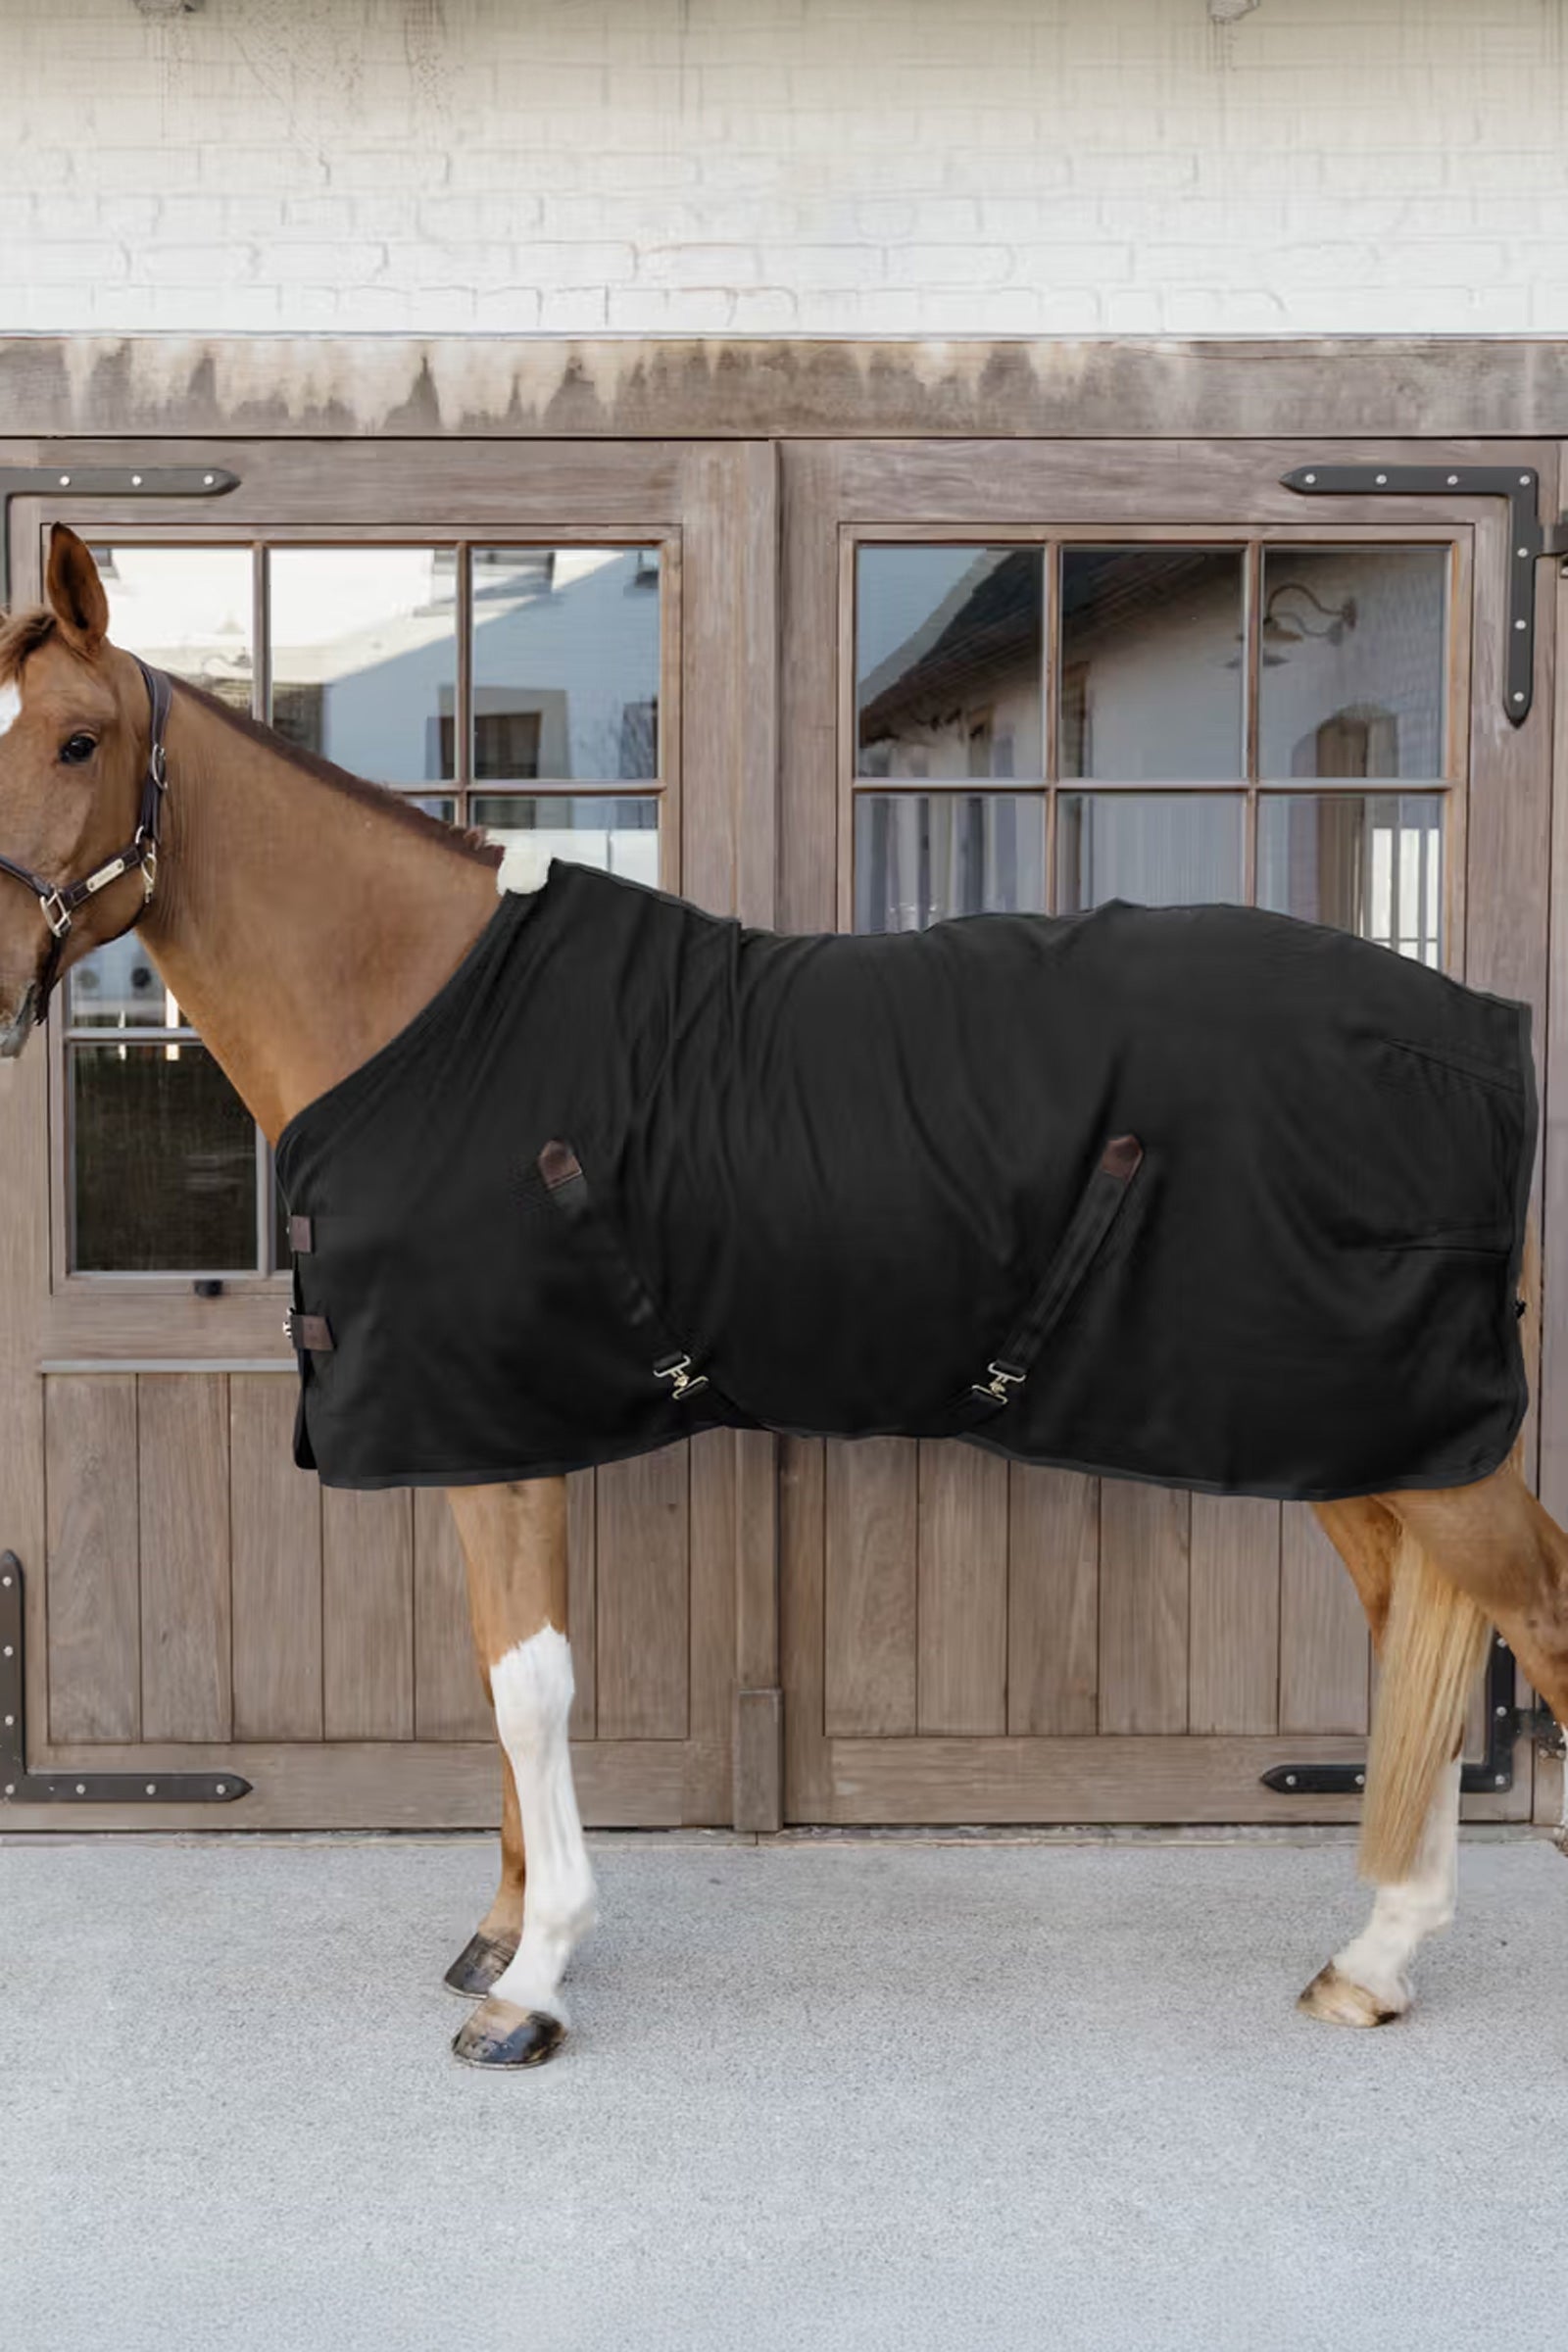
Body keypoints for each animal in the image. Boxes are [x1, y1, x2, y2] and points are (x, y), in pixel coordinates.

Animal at [1, 523, 1564, 2070]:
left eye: (78, 739)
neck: (420, 1014)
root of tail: (1474, 1035)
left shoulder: (496, 1434)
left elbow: (531, 1687)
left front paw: (534, 1981)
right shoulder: (492, 1432)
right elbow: (501, 1681)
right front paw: (499, 1934)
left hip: (1410, 1437)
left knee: (1533, 1606)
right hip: (1354, 1439)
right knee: (1418, 1631)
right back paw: (1374, 1958)